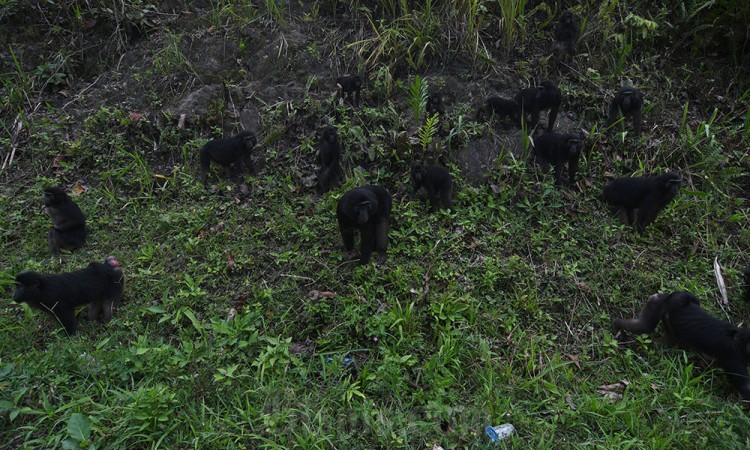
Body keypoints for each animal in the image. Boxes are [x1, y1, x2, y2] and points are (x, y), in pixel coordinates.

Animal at [616, 294, 750, 402]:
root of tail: (667, 296)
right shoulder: (733, 358)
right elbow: (746, 387)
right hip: (659, 305)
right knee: (644, 326)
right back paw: (616, 324)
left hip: (657, 305)